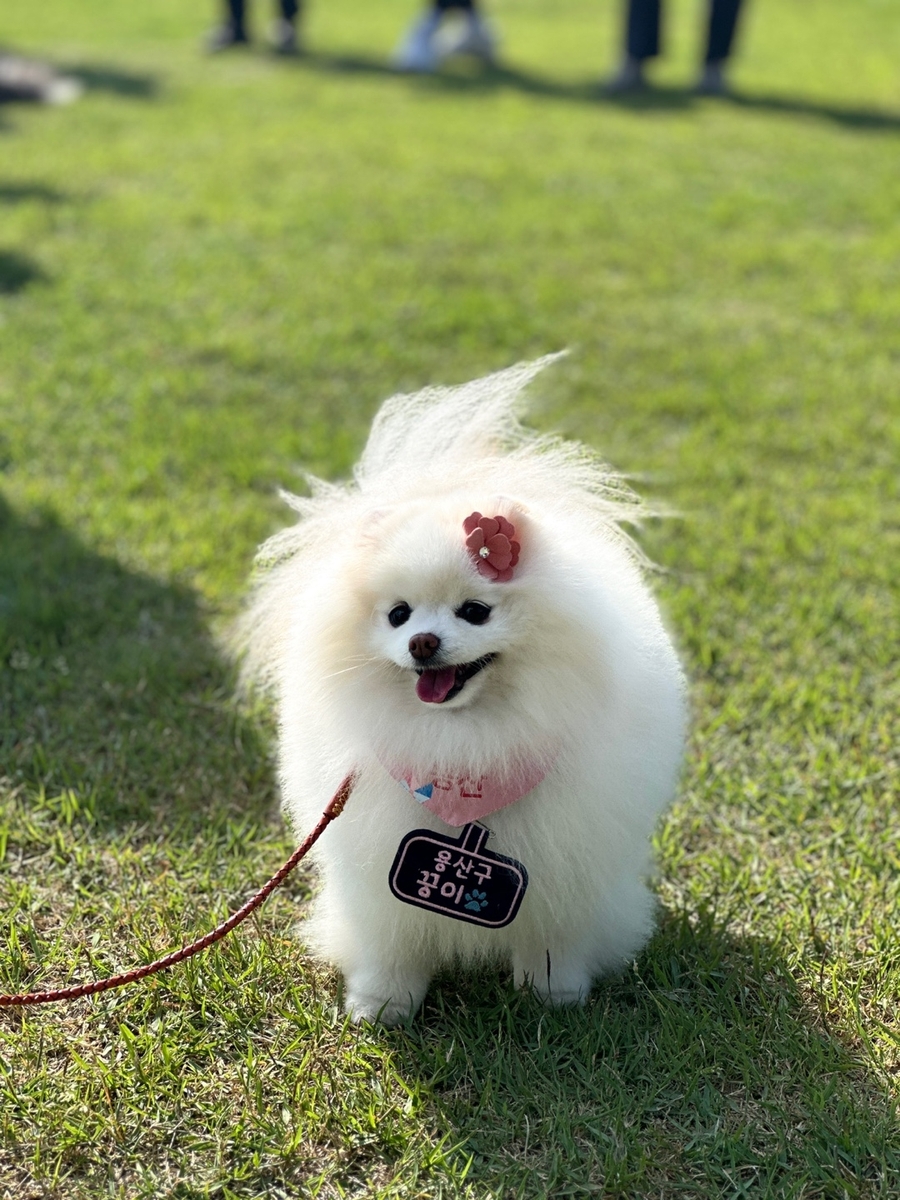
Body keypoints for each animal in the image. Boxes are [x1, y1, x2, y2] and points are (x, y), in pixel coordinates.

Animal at [236, 352, 686, 1022]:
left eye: (475, 611)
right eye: (398, 615)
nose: (423, 643)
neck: (465, 747)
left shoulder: (564, 861)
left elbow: (552, 938)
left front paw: (553, 995)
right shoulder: (376, 863)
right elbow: (392, 943)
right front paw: (382, 1006)